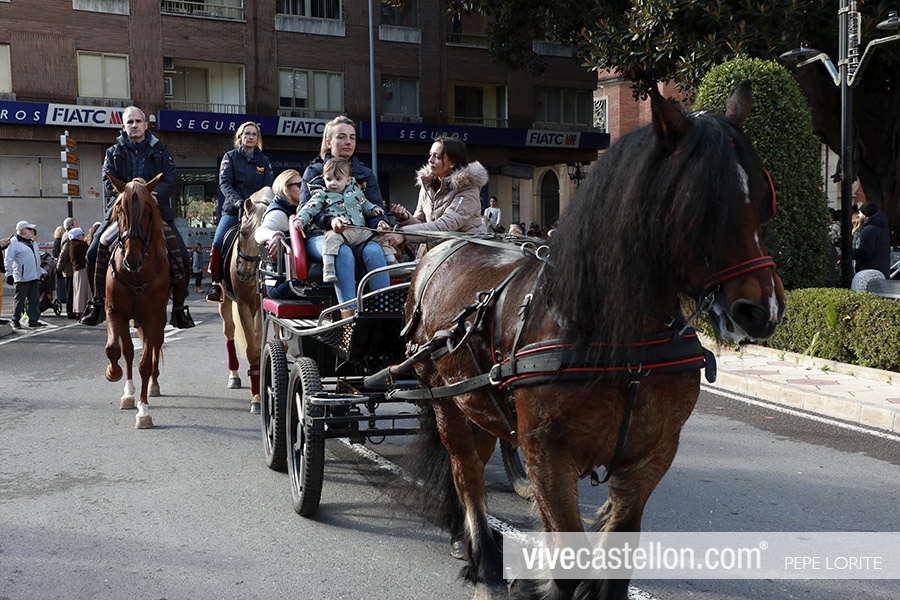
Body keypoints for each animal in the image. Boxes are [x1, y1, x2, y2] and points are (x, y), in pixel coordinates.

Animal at [103, 174, 170, 429]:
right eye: (120, 210)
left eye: (148, 211)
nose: (132, 258)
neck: (136, 274)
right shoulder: (114, 312)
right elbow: (115, 349)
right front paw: (114, 374)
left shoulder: (153, 318)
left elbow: (145, 364)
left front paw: (143, 411)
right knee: (129, 351)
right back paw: (129, 393)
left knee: (155, 349)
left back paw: (152, 386)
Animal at [404, 81, 785, 599]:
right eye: (702, 203)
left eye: (764, 197)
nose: (761, 310)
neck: (620, 343)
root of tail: (440, 250)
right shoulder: (548, 459)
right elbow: (569, 566)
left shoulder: (649, 459)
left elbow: (616, 558)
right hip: (445, 403)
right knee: (467, 475)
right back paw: (483, 558)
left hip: (477, 405)